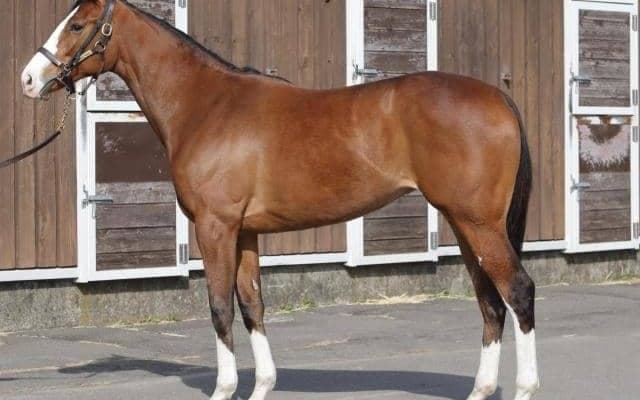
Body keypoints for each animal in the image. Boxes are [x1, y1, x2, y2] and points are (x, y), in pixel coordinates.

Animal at [20, 1, 539, 399]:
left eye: (77, 25)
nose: (28, 79)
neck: (207, 106)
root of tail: (498, 98)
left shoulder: (215, 227)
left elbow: (220, 306)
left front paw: (224, 389)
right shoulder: (246, 232)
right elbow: (253, 305)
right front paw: (262, 386)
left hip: (479, 224)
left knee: (517, 292)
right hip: (463, 223)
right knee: (490, 303)